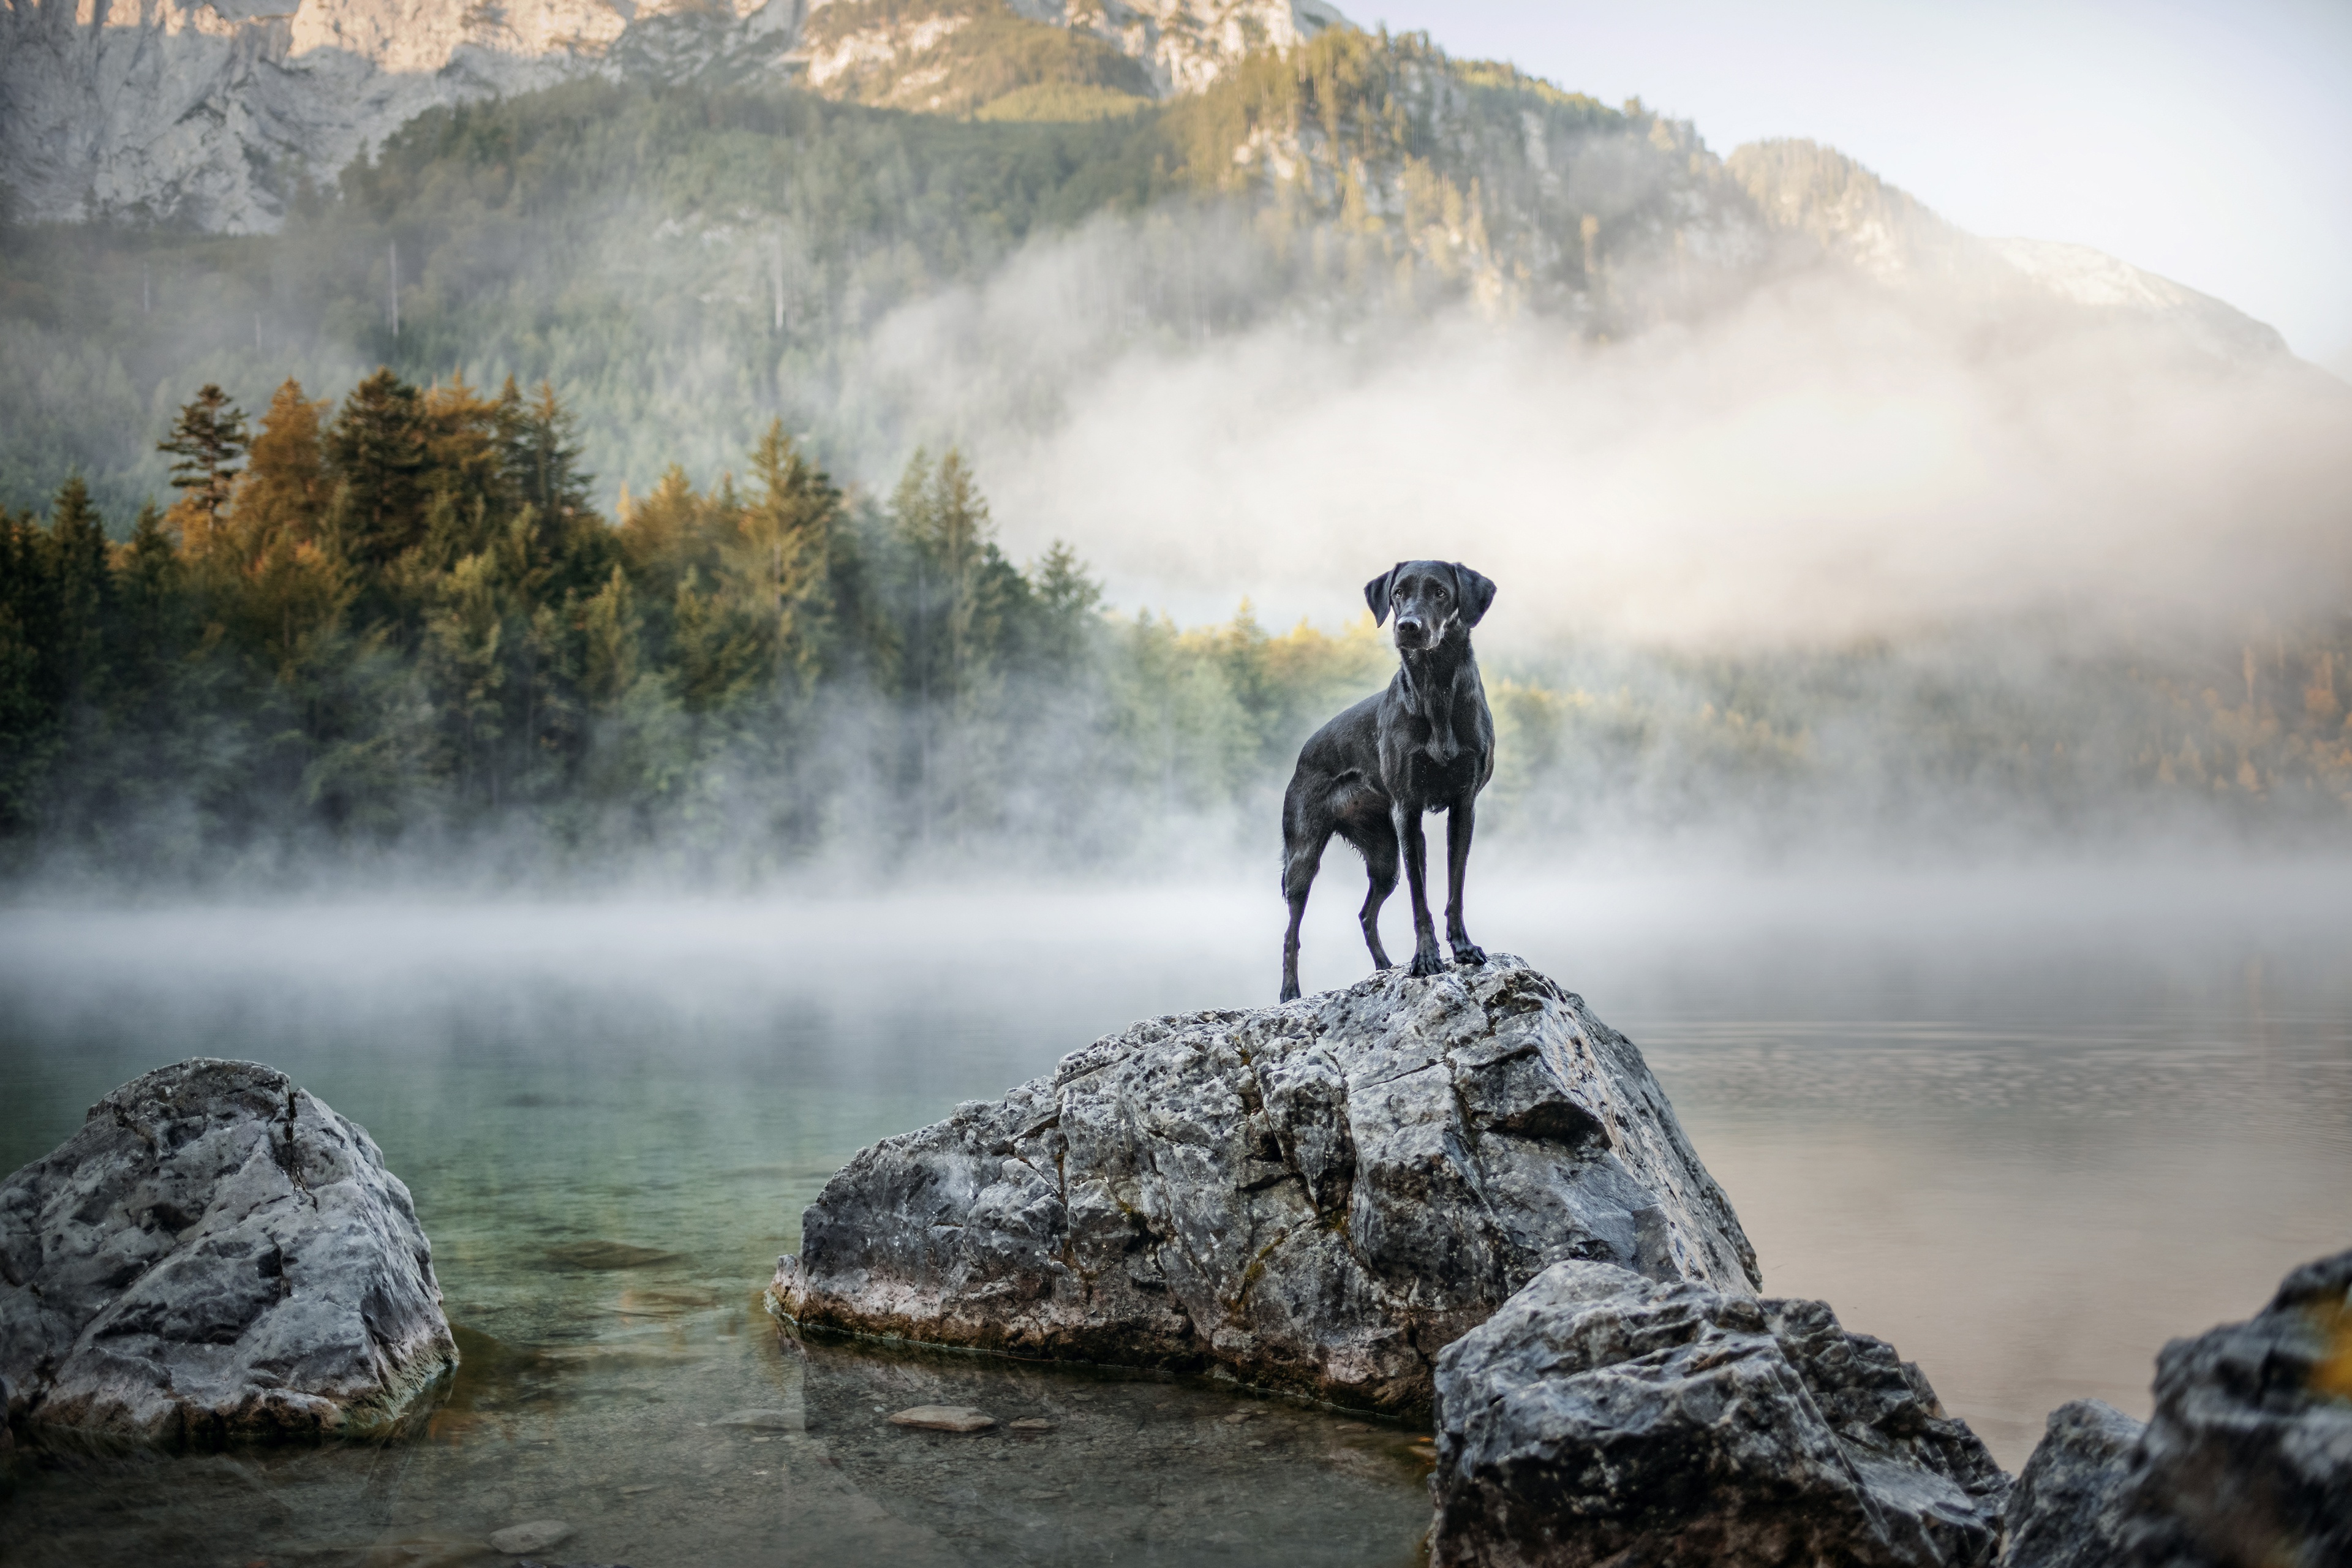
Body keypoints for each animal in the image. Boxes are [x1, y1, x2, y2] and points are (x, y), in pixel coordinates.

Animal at [1279, 562, 1496, 1006]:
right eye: (1398, 593)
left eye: (1441, 592)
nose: (1407, 627)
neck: (1436, 688)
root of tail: (1303, 753)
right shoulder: (1408, 813)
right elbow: (1420, 899)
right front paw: (1426, 959)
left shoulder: (1463, 808)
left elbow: (1455, 890)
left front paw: (1462, 948)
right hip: (1303, 859)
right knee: (1292, 933)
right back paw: (1290, 992)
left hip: (1384, 859)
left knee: (1365, 914)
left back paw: (1383, 968)